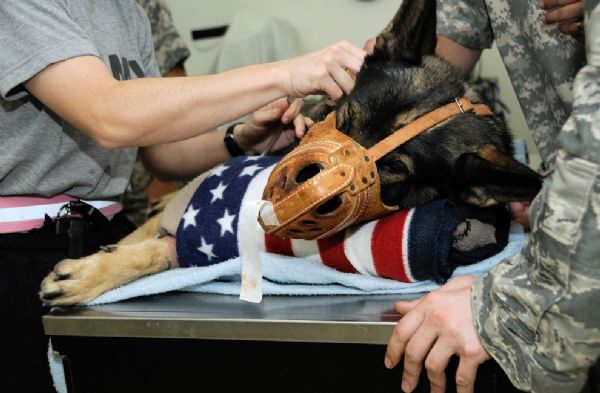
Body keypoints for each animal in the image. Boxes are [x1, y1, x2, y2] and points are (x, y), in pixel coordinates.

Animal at [39, 0, 540, 304]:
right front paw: (98, 263)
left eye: (394, 168)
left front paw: (91, 273)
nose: (295, 190)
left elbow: (157, 251)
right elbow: (136, 238)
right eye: (345, 118)